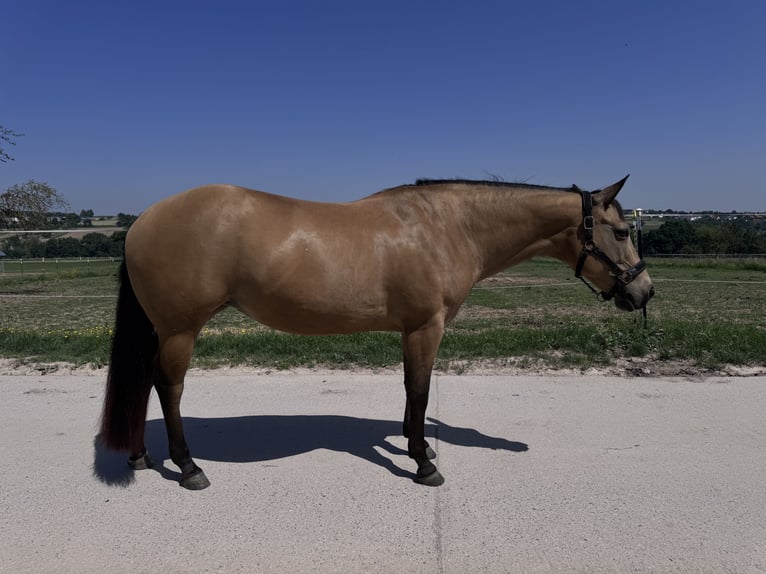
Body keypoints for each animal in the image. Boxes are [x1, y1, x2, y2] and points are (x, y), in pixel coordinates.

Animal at [100, 176, 654, 490]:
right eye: (621, 231)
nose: (644, 292)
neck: (447, 226)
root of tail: (142, 221)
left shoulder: (413, 329)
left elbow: (413, 393)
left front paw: (418, 446)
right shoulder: (425, 326)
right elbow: (420, 389)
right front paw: (424, 465)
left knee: (146, 382)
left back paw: (141, 456)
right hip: (180, 329)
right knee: (168, 387)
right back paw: (188, 467)